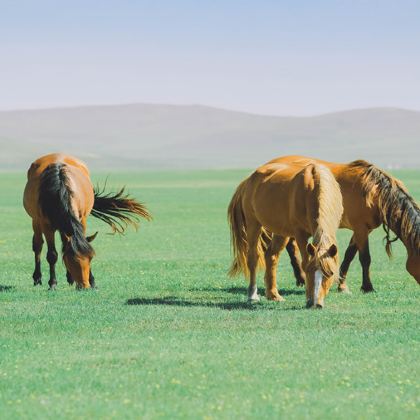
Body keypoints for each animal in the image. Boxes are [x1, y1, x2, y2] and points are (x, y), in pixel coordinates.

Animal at [22, 153, 151, 288]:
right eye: (72, 260)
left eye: (91, 258)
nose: (85, 286)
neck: (60, 189)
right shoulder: (46, 225)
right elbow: (52, 255)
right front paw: (53, 283)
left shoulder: (82, 219)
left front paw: (92, 280)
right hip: (35, 221)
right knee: (38, 245)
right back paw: (37, 278)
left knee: (64, 242)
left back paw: (70, 278)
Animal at [228, 159, 342, 306]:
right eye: (309, 271)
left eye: (331, 273)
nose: (316, 303)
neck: (313, 188)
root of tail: (248, 180)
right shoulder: (300, 234)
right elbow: (305, 261)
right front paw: (309, 297)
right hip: (253, 224)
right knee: (253, 258)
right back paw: (252, 294)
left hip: (281, 232)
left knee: (271, 256)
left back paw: (273, 295)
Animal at [270, 156, 420, 290]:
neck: (374, 192)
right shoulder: (361, 229)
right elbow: (365, 258)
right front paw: (367, 287)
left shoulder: (363, 230)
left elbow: (349, 255)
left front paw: (342, 285)